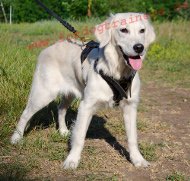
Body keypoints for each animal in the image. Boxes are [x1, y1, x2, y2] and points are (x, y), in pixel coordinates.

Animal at [10, 12, 155, 168]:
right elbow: (79, 136)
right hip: (43, 94)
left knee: (61, 109)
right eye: (123, 30)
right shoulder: (86, 106)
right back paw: (16, 137)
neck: (117, 72)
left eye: (142, 30)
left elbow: (132, 137)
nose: (139, 47)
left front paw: (137, 159)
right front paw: (72, 160)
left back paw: (63, 131)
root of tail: (47, 49)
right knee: (25, 114)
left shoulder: (130, 106)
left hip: (68, 94)